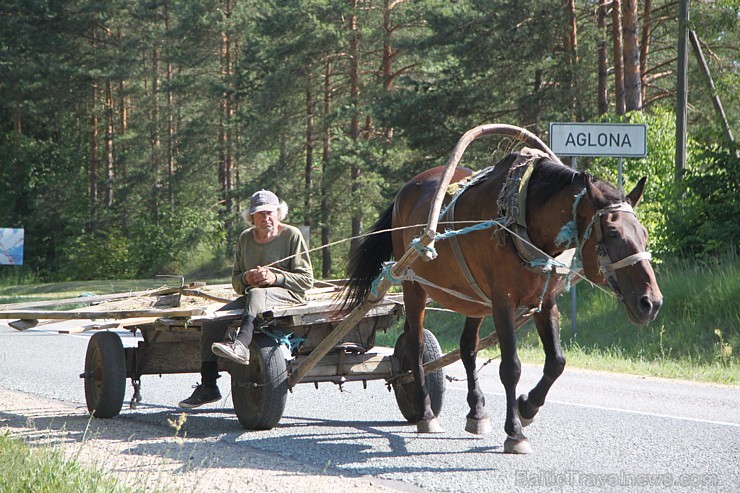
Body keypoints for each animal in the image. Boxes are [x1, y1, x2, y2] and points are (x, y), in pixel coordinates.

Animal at [344, 126, 660, 454]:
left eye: (644, 233)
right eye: (612, 232)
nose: (650, 302)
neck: (522, 215)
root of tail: (406, 190)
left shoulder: (544, 301)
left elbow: (557, 362)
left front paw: (527, 407)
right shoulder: (502, 302)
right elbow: (511, 367)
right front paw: (515, 432)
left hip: (473, 299)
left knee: (467, 347)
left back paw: (476, 411)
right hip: (414, 285)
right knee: (416, 345)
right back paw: (426, 412)